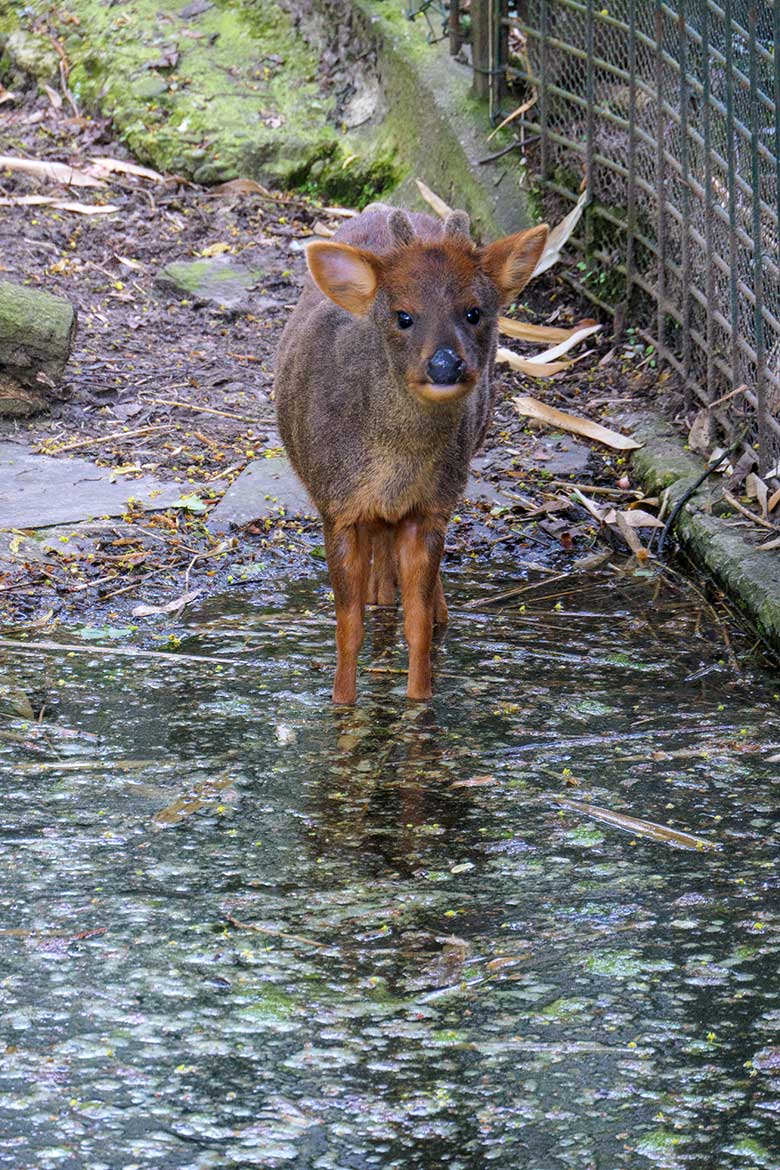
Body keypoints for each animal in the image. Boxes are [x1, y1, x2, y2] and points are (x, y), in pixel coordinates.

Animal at [275, 201, 549, 702]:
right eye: (403, 316)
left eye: (474, 312)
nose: (444, 363)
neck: (392, 467)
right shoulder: (337, 505)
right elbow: (348, 627)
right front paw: (341, 702)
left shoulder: (430, 508)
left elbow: (417, 624)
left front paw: (420, 700)